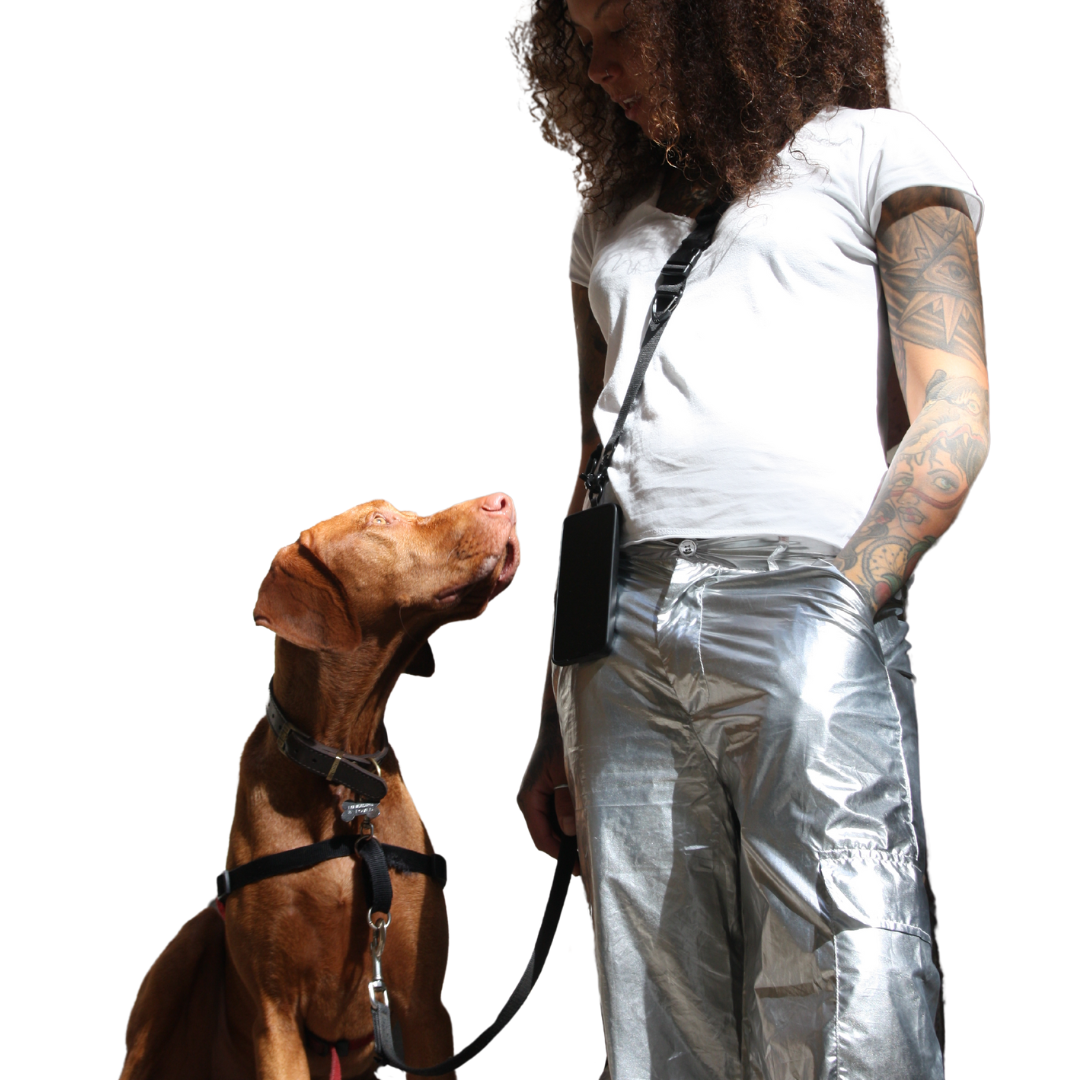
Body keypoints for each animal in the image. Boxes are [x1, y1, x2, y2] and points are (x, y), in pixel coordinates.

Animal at [122, 494, 518, 1080]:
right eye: (379, 520)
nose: (504, 502)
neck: (341, 772)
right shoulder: (276, 1015)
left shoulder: (424, 1009)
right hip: (174, 975)